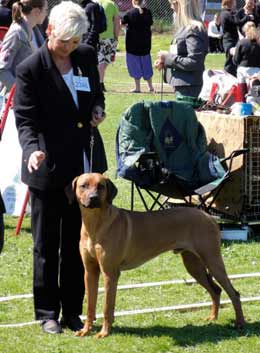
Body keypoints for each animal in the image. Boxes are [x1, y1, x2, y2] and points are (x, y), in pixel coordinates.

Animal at [67, 172, 246, 336]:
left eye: (101, 186)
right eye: (83, 186)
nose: (93, 198)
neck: (96, 225)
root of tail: (209, 216)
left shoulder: (110, 273)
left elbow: (106, 308)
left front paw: (104, 332)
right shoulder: (90, 271)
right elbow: (90, 305)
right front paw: (85, 330)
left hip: (212, 260)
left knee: (234, 293)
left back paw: (240, 323)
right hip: (194, 265)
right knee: (216, 290)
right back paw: (213, 318)